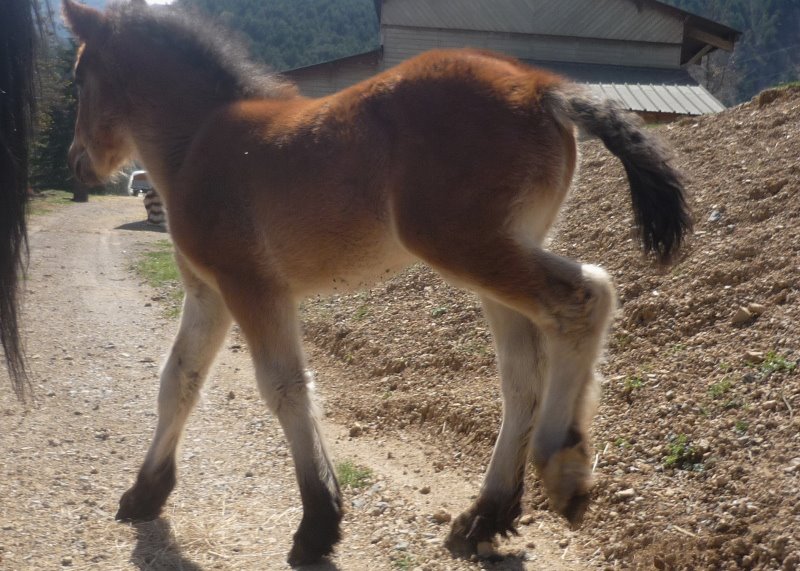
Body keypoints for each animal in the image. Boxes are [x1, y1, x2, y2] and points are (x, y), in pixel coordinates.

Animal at [64, 0, 688, 564]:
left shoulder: (252, 286)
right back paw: (489, 513)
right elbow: (179, 379)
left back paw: (561, 463)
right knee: (524, 372)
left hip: (465, 246)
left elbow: (284, 387)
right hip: (500, 254)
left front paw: (318, 523)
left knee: (586, 297)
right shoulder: (208, 292)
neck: (198, 140)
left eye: (78, 76)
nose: (76, 164)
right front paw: (145, 492)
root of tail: (543, 87)